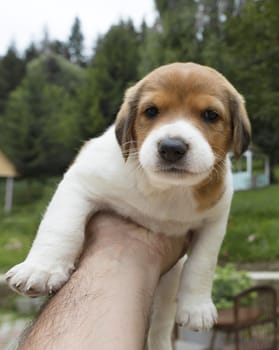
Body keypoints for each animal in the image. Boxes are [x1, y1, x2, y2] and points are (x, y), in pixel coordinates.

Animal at [6, 63, 252, 350]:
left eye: (211, 115)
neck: (165, 188)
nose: (172, 147)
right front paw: (41, 269)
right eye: (151, 111)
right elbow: (61, 226)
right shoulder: (78, 183)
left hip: (168, 289)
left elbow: (202, 263)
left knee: (160, 325)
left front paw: (197, 308)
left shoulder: (215, 221)